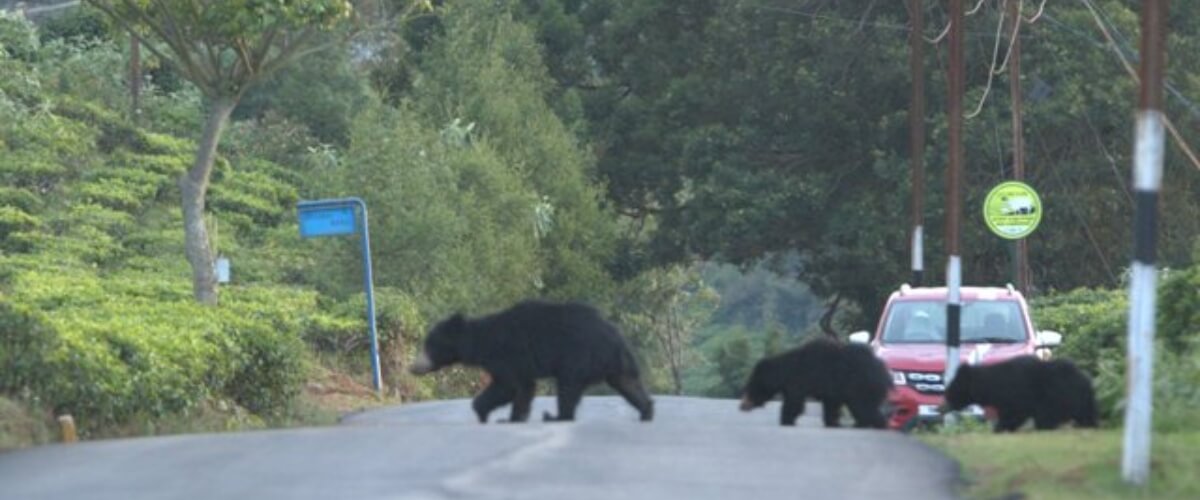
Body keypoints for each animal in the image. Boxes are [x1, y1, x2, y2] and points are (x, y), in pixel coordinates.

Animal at [412, 298, 657, 422]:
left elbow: (508, 385)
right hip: (616, 363)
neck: (481, 342)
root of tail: (615, 337)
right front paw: (514, 417)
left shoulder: (505, 354)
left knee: (567, 387)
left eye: (429, 345)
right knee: (628, 383)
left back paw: (557, 416)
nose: (414, 367)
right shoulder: (518, 363)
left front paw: (484, 411)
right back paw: (646, 410)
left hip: (577, 357)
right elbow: (524, 388)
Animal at [734, 338, 897, 426]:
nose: (742, 405)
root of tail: (886, 374)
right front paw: (833, 422)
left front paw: (786, 420)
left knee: (864, 409)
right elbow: (830, 408)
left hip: (860, 386)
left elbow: (794, 404)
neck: (786, 371)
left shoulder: (800, 381)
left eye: (750, 387)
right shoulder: (831, 392)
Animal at [940, 354, 1099, 431]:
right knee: (1086, 416)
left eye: (950, 393)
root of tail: (1088, 380)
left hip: (1061, 396)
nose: (941, 408)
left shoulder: (1018, 394)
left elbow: (1014, 415)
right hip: (1083, 401)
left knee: (1046, 417)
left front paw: (1000, 428)